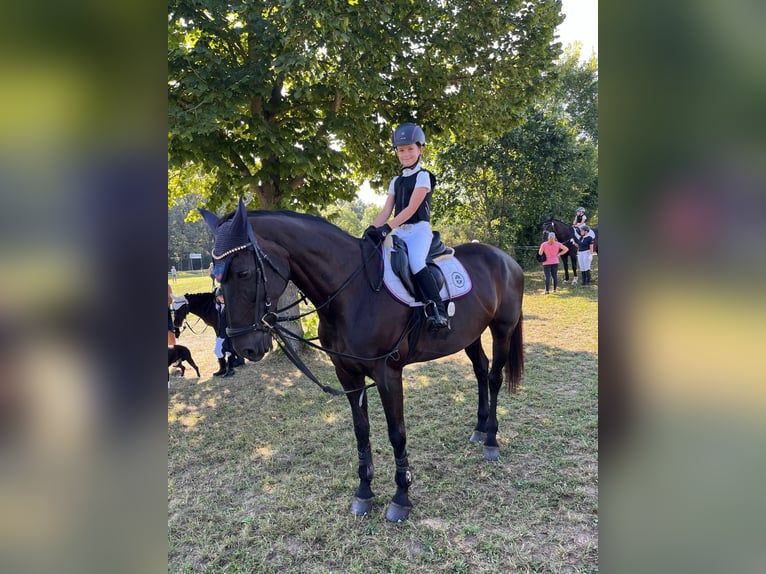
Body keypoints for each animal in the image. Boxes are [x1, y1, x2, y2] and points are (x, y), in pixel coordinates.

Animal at [200, 200, 524, 523]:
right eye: (216, 277)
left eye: (243, 272)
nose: (244, 347)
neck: (354, 293)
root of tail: (507, 260)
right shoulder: (347, 374)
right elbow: (361, 430)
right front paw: (364, 492)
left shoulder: (387, 374)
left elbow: (396, 433)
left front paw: (401, 496)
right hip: (471, 335)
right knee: (480, 370)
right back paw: (479, 428)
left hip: (502, 329)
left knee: (494, 377)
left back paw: (491, 440)